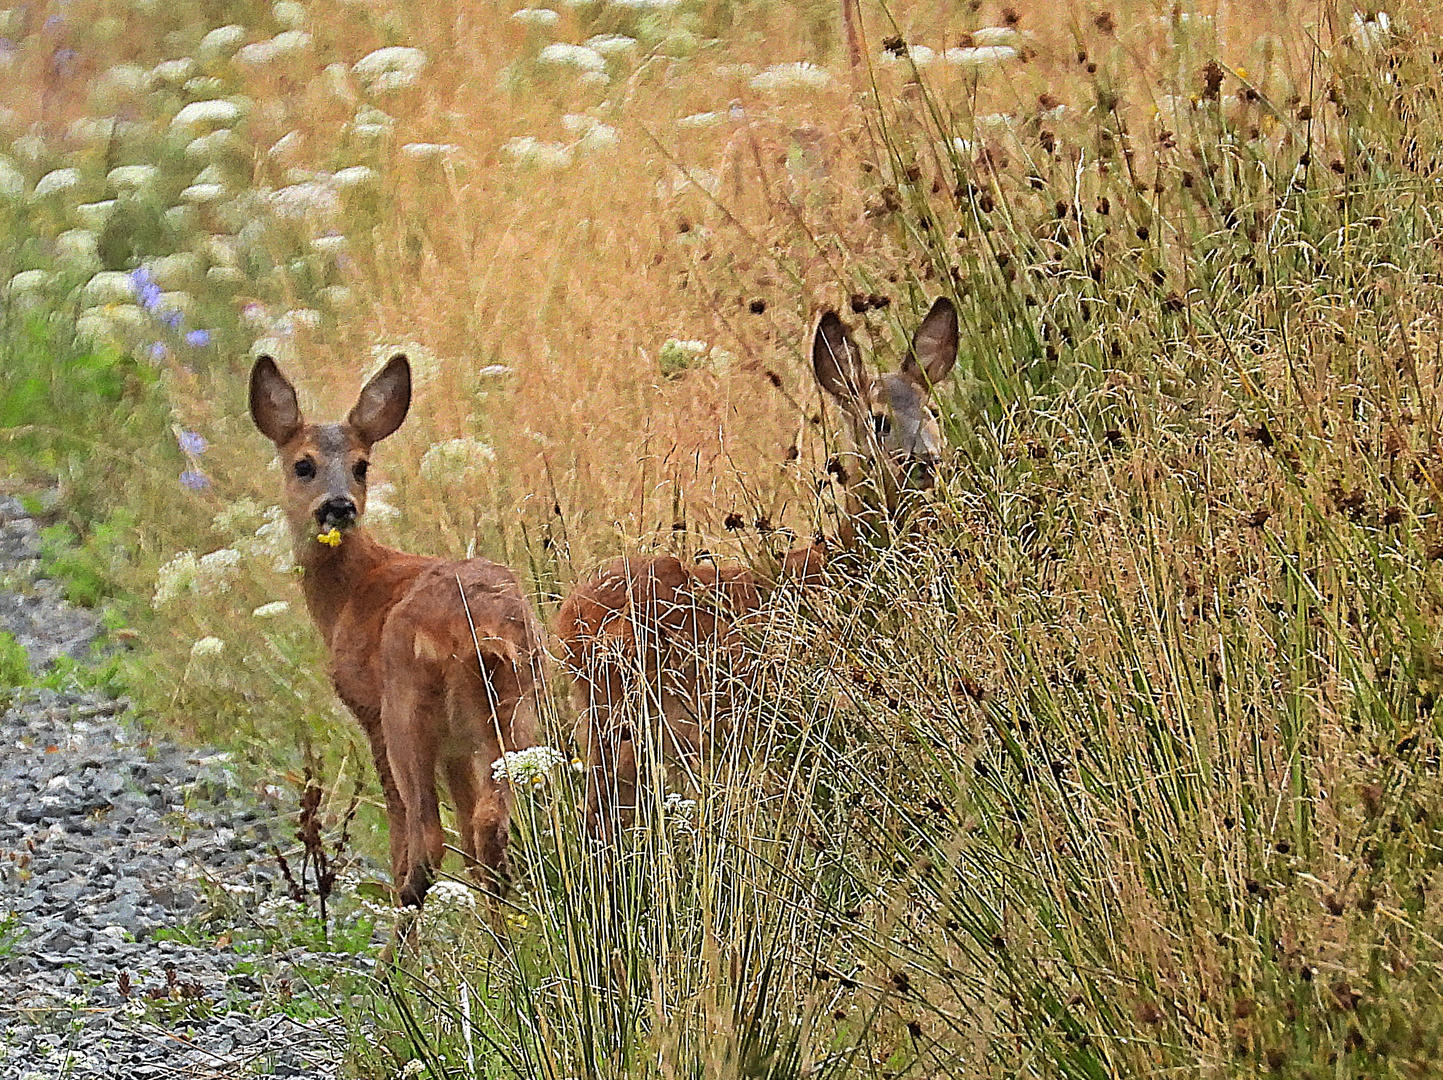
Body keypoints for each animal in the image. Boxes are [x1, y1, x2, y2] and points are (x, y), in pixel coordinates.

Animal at [248, 353, 542, 900]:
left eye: (361, 465)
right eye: (304, 464)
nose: (339, 506)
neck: (349, 591)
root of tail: (476, 629)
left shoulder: (367, 705)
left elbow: (399, 817)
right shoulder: (455, 744)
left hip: (407, 706)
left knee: (431, 835)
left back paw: (404, 905)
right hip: (514, 707)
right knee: (489, 824)